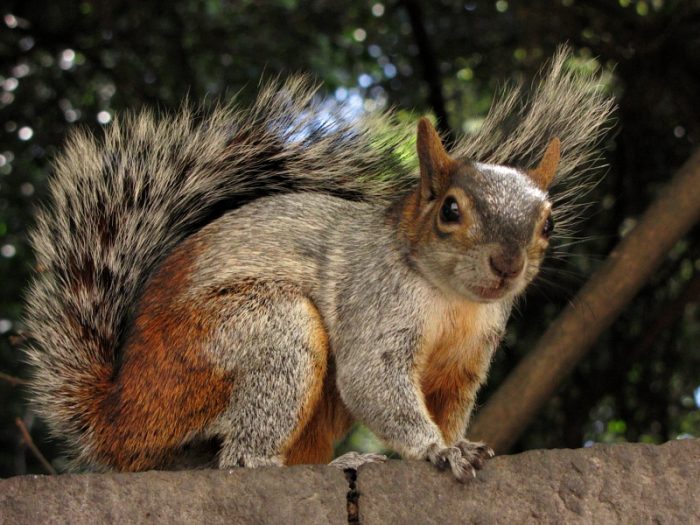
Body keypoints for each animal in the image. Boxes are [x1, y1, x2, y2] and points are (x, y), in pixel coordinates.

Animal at [21, 48, 612, 478]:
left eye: (548, 223)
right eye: (450, 210)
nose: (507, 264)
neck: (452, 301)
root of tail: (121, 416)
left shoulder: (465, 361)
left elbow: (448, 407)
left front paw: (457, 442)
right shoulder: (376, 308)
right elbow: (373, 380)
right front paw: (436, 451)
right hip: (253, 335)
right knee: (238, 458)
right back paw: (315, 463)